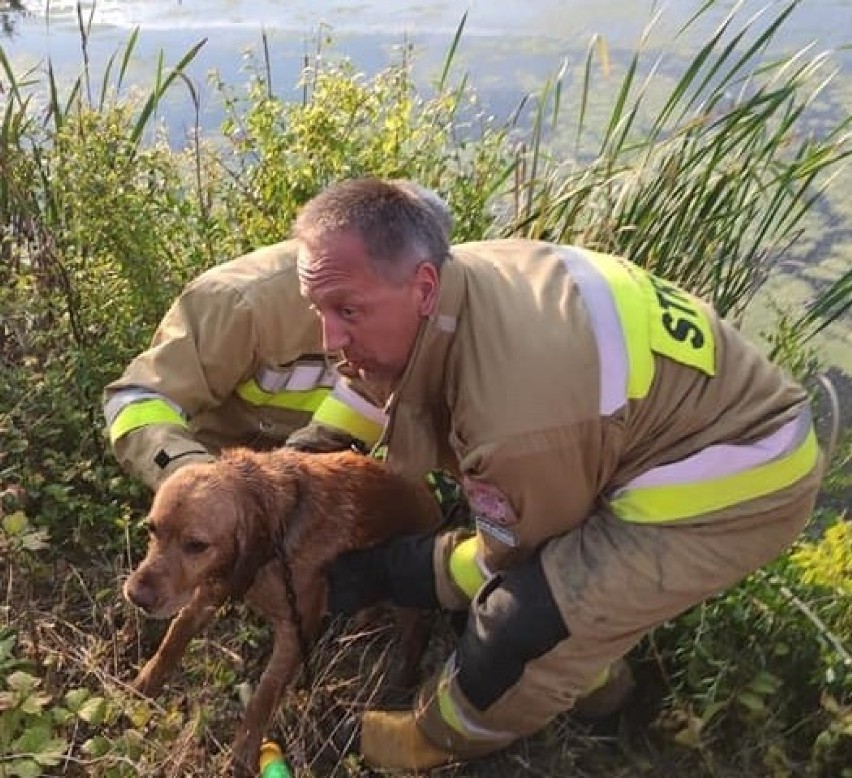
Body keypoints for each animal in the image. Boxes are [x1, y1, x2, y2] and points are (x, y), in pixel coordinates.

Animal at [123, 446, 442, 772]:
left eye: (196, 545)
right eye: (151, 529)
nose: (136, 595)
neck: (276, 540)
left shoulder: (294, 630)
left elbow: (264, 695)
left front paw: (242, 755)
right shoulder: (209, 592)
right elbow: (172, 640)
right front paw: (142, 688)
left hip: (408, 601)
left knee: (414, 641)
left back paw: (397, 688)